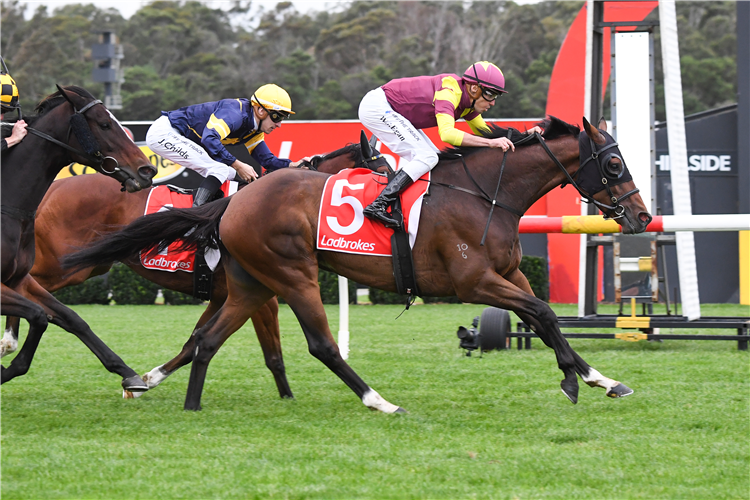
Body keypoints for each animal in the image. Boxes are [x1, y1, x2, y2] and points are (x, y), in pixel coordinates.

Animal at [1, 85, 157, 390]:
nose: (147, 170)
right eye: (105, 124)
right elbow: (40, 316)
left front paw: (127, 373)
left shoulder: (21, 279)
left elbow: (70, 318)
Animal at [1, 136, 388, 398]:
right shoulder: (264, 298)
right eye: (383, 171)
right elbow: (273, 355)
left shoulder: (223, 295)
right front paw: (289, 397)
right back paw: (9, 340)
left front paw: (149, 379)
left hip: (86, 266)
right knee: (28, 287)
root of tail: (52, 190)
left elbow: (194, 342)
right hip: (58, 265)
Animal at [63, 116, 652, 410]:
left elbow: (542, 316)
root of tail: (236, 201)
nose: (643, 215)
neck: (487, 193)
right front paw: (576, 381)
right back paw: (378, 401)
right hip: (292, 275)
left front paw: (597, 378)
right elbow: (545, 314)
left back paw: (180, 399)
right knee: (321, 344)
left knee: (205, 340)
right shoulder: (474, 282)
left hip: (253, 283)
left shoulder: (506, 274)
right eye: (614, 164)